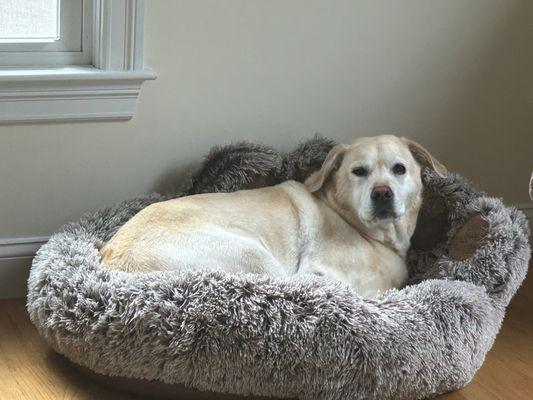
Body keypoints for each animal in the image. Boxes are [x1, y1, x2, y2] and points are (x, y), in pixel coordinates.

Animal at [100, 137, 444, 296]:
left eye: (399, 169)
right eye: (358, 171)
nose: (382, 193)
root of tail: (110, 260)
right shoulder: (315, 271)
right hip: (253, 254)